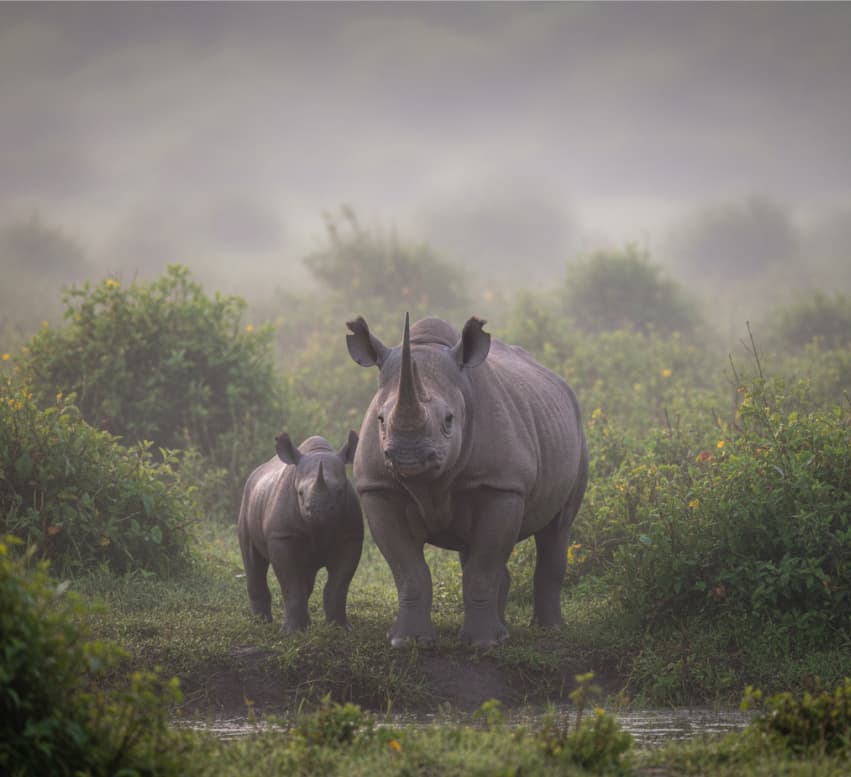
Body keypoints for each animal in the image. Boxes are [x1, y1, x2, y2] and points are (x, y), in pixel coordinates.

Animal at [237, 432, 363, 632]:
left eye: (340, 492)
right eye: (300, 493)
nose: (319, 511)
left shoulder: (351, 538)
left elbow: (338, 585)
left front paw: (340, 628)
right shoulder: (282, 536)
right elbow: (291, 583)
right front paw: (292, 632)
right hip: (247, 499)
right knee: (253, 560)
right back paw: (261, 622)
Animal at [346, 314, 588, 648]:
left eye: (449, 420)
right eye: (380, 419)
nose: (408, 456)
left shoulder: (501, 486)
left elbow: (482, 570)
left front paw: (483, 644)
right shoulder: (378, 488)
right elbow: (409, 571)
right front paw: (408, 641)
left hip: (577, 431)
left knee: (558, 526)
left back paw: (547, 630)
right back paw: (505, 629)